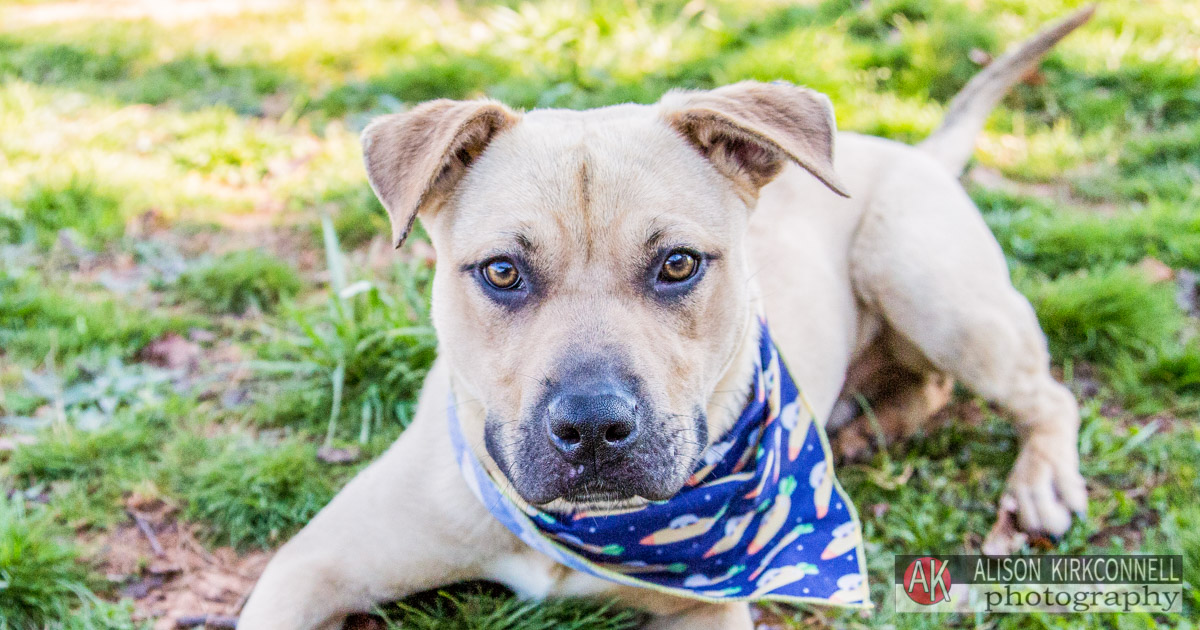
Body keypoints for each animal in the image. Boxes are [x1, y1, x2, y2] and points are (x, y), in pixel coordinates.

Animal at [238, 9, 1094, 628]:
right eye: (503, 272)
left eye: (678, 264)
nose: (591, 428)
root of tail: (912, 147)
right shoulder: (310, 567)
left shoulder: (707, 615)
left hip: (935, 291)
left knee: (1045, 395)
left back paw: (1040, 478)